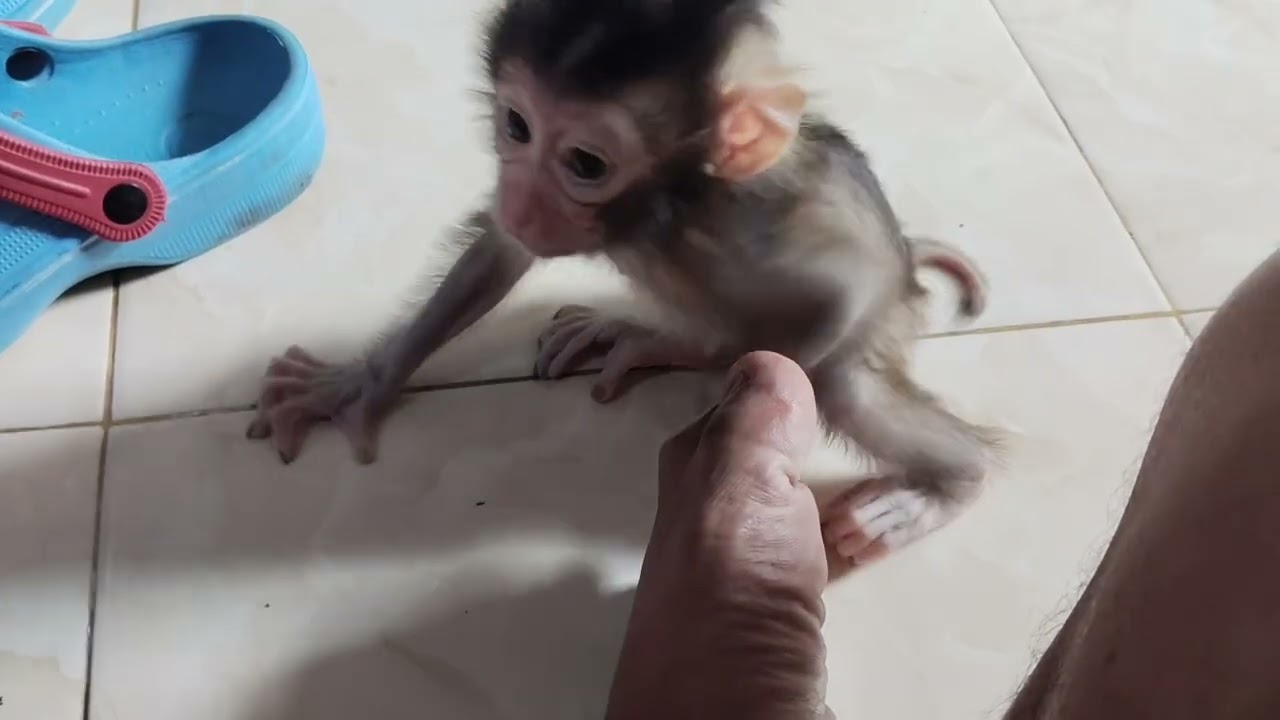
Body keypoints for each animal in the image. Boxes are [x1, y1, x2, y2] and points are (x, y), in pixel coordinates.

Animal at [246, 0, 999, 568]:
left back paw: (944, 487)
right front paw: (359, 385)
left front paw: (722, 431)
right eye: (516, 126)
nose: (522, 201)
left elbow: (836, 298)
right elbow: (501, 252)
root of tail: (909, 263)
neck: (661, 212)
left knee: (840, 378)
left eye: (586, 162)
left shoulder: (752, 226)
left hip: (883, 314)